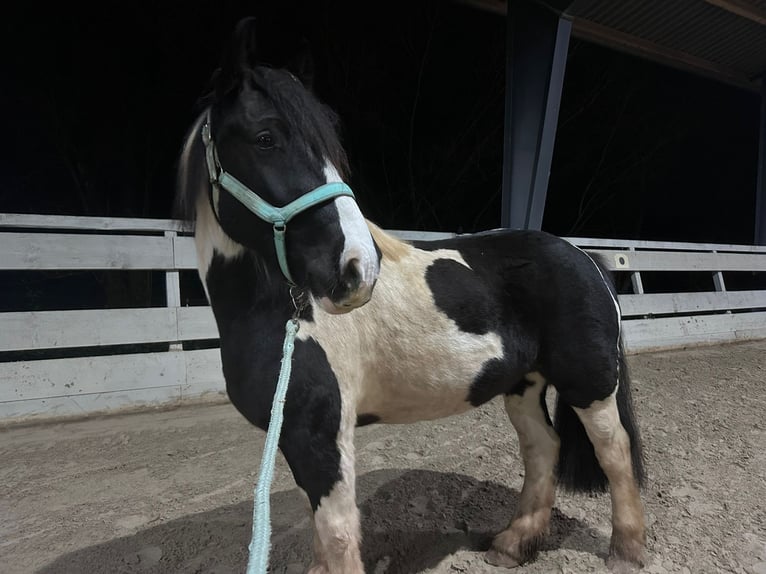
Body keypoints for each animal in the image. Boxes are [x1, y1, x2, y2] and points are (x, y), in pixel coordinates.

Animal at [175, 17, 647, 574]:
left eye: (331, 150)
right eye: (264, 138)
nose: (357, 268)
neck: (282, 315)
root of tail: (583, 256)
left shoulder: (323, 435)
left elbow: (338, 536)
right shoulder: (296, 439)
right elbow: (321, 538)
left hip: (588, 384)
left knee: (613, 451)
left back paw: (627, 550)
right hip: (523, 384)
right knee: (543, 448)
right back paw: (513, 543)